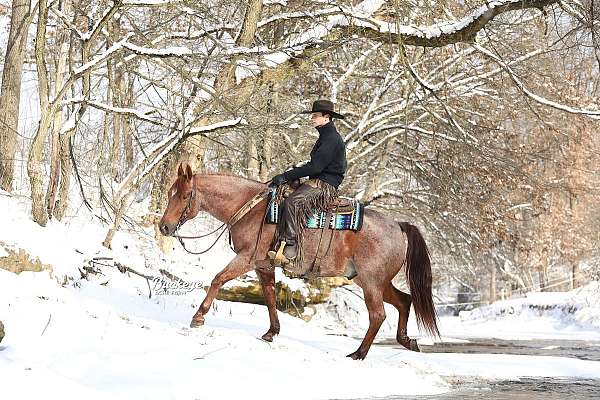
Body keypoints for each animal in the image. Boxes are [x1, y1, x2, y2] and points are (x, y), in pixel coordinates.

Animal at [159, 165, 440, 360]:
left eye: (184, 195)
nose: (164, 227)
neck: (253, 211)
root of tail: (398, 226)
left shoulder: (247, 259)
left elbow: (218, 278)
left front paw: (198, 317)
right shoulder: (263, 265)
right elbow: (270, 297)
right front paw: (271, 333)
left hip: (371, 283)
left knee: (378, 315)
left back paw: (358, 354)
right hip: (373, 281)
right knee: (404, 301)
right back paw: (407, 341)